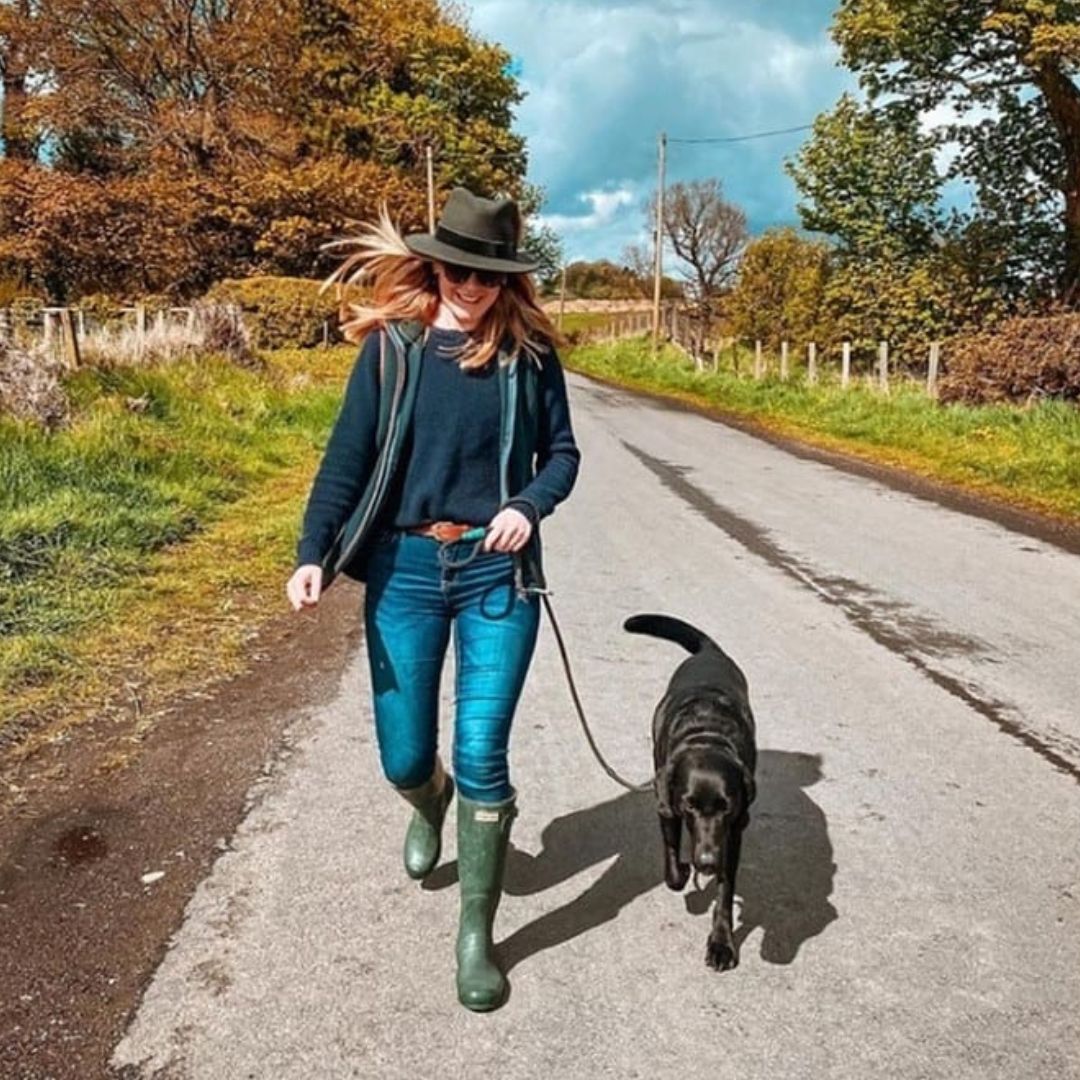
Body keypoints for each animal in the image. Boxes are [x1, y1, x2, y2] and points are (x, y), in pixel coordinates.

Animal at [626, 613, 760, 976]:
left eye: (727, 807)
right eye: (689, 804)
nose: (707, 862)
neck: (707, 735)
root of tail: (710, 651)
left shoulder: (734, 832)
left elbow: (726, 891)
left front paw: (722, 943)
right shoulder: (667, 805)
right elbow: (672, 863)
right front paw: (684, 871)